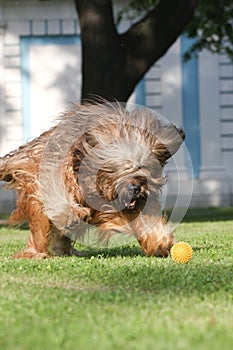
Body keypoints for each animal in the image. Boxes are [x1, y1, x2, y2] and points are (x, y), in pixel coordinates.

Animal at [0, 101, 186, 258]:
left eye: (143, 170)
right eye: (121, 169)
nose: (135, 189)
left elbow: (142, 218)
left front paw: (159, 243)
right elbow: (56, 194)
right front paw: (69, 215)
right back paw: (36, 252)